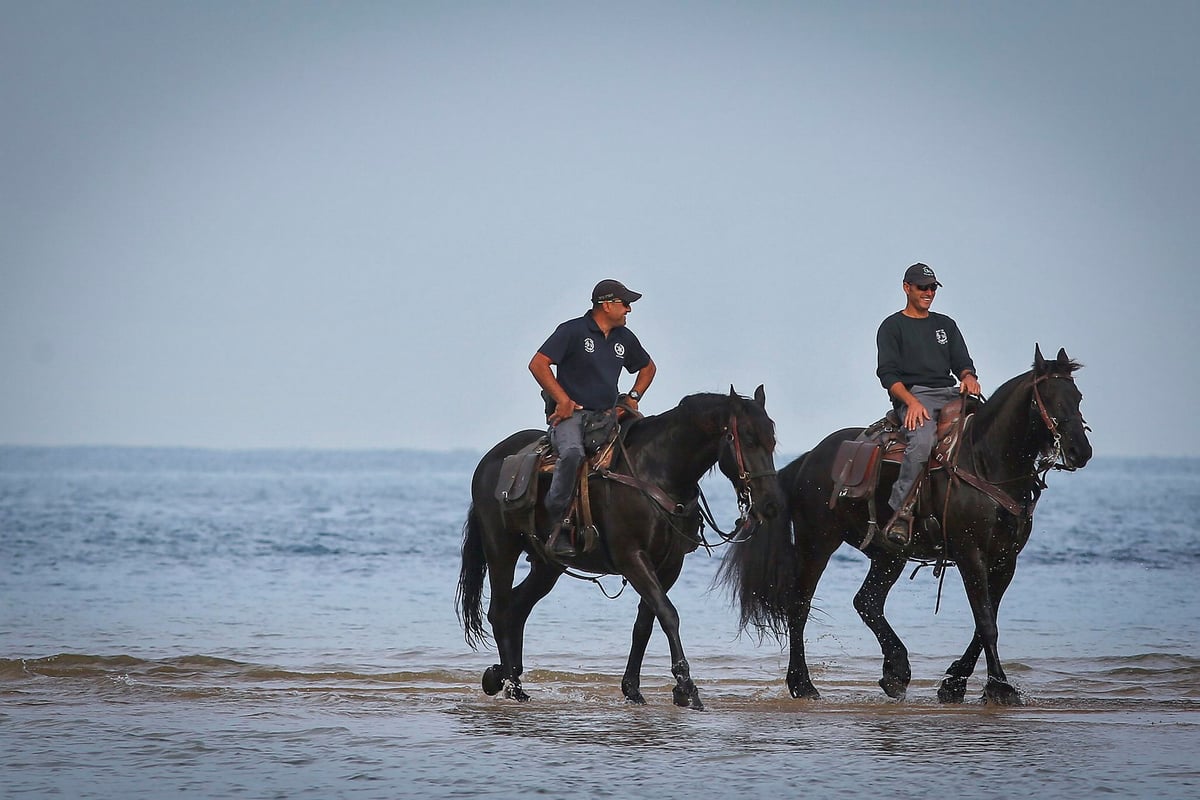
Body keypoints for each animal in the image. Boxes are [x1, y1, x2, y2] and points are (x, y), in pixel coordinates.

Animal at [453, 386, 782, 705]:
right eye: (748, 439)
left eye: (772, 442)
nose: (771, 503)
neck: (657, 471)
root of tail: (488, 462)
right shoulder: (631, 557)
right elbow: (668, 614)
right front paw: (686, 687)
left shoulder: (670, 564)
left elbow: (646, 622)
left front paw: (633, 689)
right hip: (501, 550)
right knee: (499, 610)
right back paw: (510, 684)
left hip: (547, 565)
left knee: (517, 608)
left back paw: (506, 677)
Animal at [715, 347, 1094, 705]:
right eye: (1051, 399)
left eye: (1078, 397)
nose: (1081, 451)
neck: (986, 462)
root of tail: (807, 459)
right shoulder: (971, 554)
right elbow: (987, 623)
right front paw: (999, 687)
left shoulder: (1005, 560)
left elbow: (984, 623)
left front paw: (954, 684)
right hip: (818, 542)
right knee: (800, 606)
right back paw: (803, 684)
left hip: (887, 552)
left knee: (867, 601)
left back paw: (896, 671)